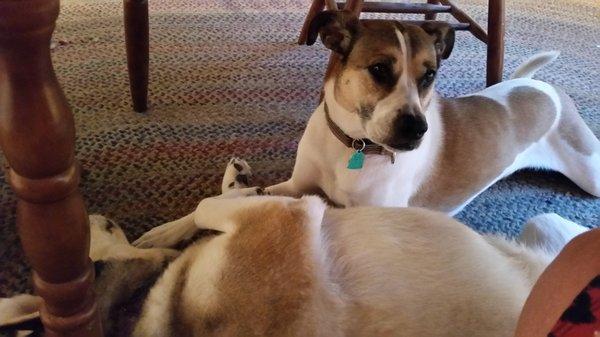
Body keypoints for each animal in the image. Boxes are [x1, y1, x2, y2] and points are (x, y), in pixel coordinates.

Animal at [253, 12, 600, 213]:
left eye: (430, 74)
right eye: (379, 69)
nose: (416, 129)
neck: (353, 146)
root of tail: (542, 86)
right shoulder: (295, 186)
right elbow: (253, 193)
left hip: (591, 172)